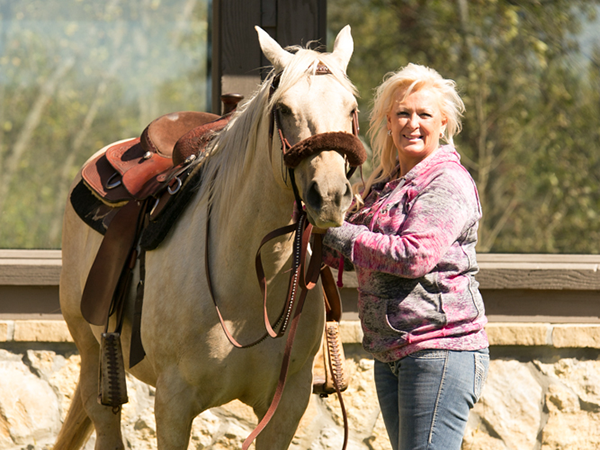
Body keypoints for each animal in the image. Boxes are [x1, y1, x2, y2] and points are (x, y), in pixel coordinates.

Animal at [54, 25, 358, 450]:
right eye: (283, 109)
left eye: (351, 109)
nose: (329, 196)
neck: (248, 288)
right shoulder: (173, 404)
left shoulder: (287, 404)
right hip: (91, 353)